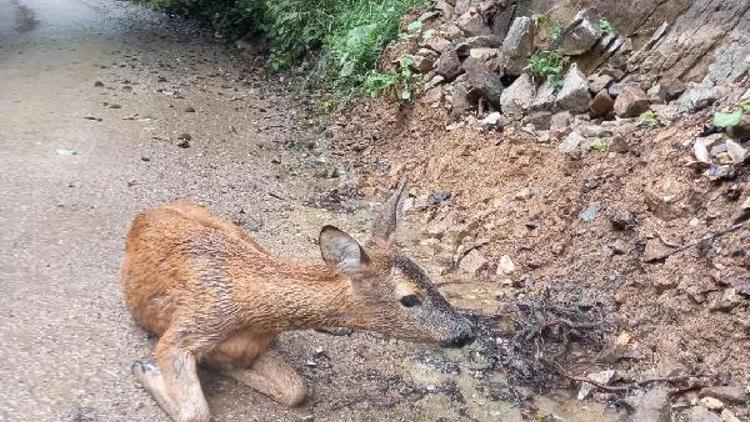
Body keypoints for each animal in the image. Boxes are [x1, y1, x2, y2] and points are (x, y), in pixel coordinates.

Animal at [121, 182, 478, 422]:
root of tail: (145, 212)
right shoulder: (185, 331)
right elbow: (195, 411)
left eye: (430, 278)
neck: (252, 312)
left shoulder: (262, 343)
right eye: (409, 299)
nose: (466, 331)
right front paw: (145, 368)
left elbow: (296, 390)